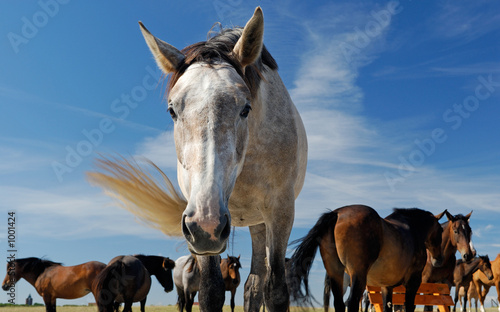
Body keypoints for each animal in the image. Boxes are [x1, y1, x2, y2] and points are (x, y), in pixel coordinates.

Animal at [90, 6, 308, 310]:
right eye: (172, 110)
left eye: (246, 108)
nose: (207, 225)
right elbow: (210, 292)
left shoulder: (280, 212)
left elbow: (276, 291)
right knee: (253, 284)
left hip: (260, 222)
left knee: (258, 283)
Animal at [288, 205, 444, 312]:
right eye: (441, 230)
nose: (439, 260)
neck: (412, 230)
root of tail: (337, 213)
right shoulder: (413, 282)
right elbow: (409, 306)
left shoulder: (386, 286)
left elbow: (387, 307)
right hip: (358, 275)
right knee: (351, 303)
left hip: (335, 274)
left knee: (339, 303)